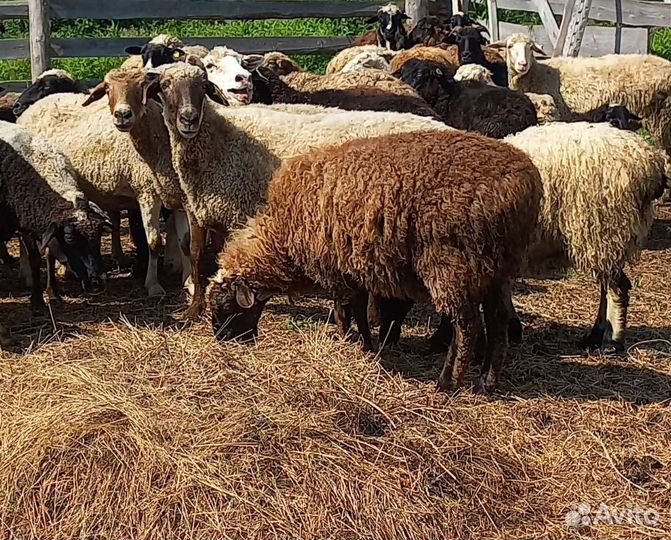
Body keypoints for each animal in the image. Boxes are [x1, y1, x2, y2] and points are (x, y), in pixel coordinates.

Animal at [0, 121, 110, 309]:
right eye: (71, 239)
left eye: (99, 236)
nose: (98, 282)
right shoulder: (25, 226)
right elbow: (35, 259)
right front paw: (37, 302)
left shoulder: (43, 229)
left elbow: (50, 256)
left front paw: (53, 293)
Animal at [207, 130, 542, 392]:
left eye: (225, 307)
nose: (221, 340)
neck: (281, 236)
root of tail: (525, 183)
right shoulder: (350, 268)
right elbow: (354, 308)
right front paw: (362, 344)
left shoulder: (337, 268)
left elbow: (348, 310)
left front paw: (355, 343)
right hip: (498, 266)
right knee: (497, 320)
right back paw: (487, 381)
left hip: (454, 263)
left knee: (467, 324)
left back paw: (448, 384)